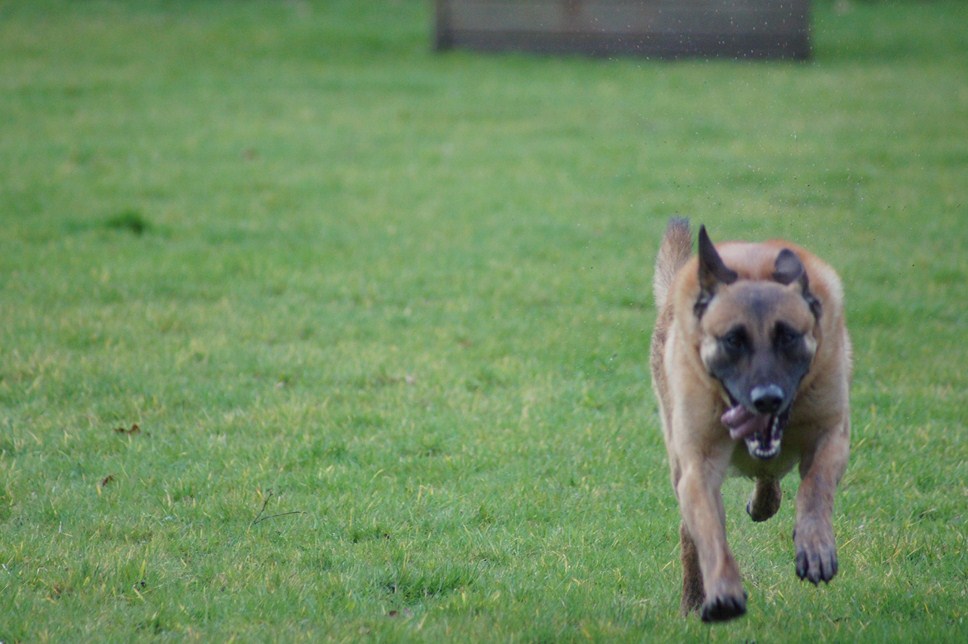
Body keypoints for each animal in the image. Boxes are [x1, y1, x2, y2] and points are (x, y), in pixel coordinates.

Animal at [648, 219, 852, 620]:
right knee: (689, 534)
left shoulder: (832, 432)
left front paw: (815, 546)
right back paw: (692, 600)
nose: (766, 398)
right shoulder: (698, 462)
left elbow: (816, 486)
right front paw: (722, 590)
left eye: (787, 336)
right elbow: (710, 530)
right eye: (733, 340)